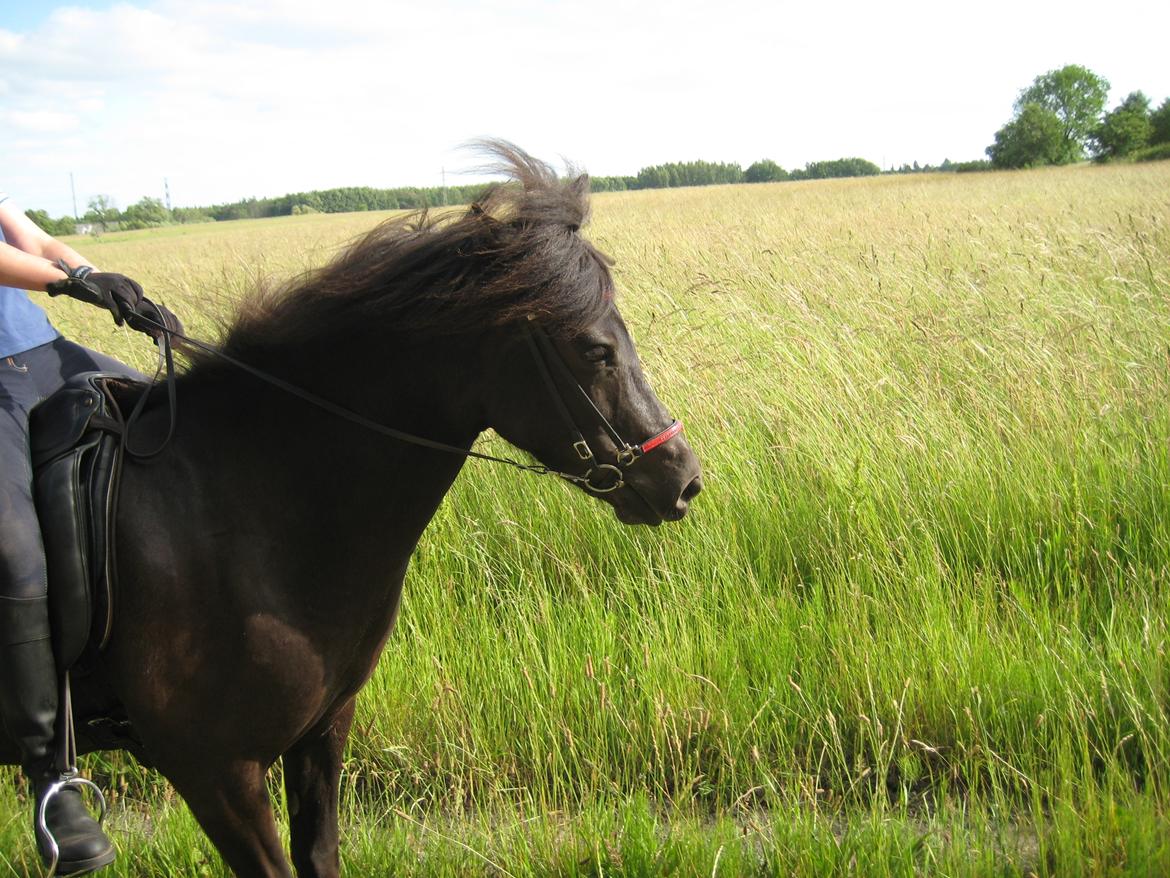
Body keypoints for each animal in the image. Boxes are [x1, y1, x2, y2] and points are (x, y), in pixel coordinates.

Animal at [0, 141, 697, 875]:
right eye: (595, 348)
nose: (683, 479)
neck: (245, 509)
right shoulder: (216, 772)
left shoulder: (322, 733)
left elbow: (321, 853)